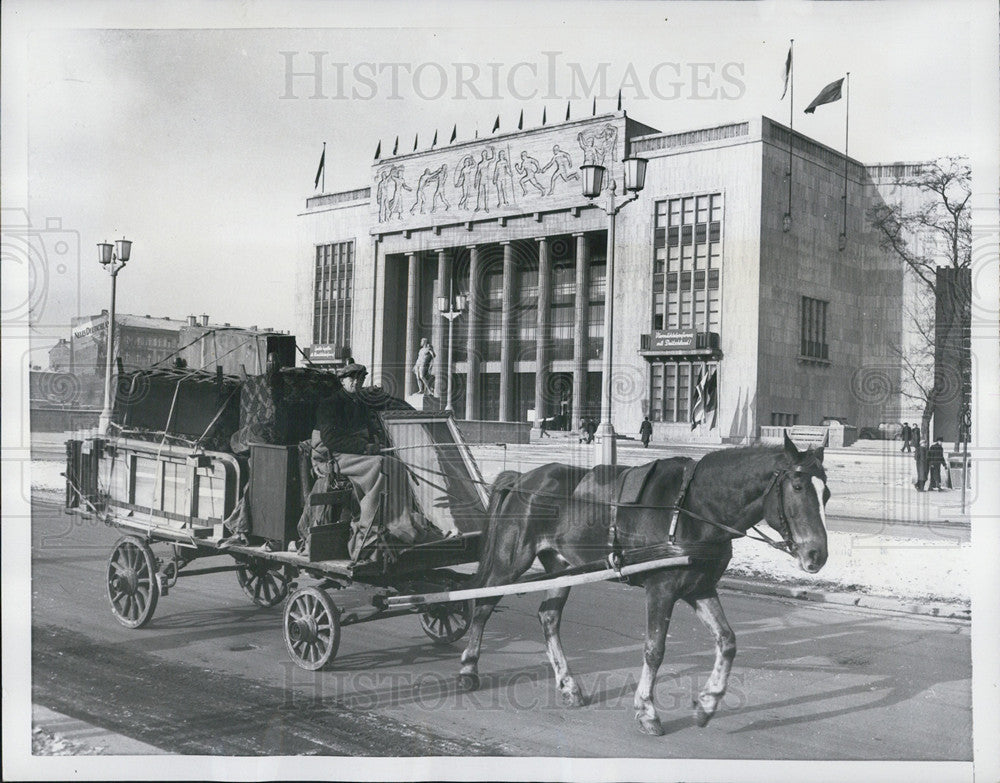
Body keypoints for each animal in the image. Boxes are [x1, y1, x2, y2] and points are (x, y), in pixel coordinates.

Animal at [458, 434, 832, 736]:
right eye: (798, 487)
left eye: (826, 493)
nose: (817, 554)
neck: (692, 508)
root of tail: (524, 478)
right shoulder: (661, 590)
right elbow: (654, 650)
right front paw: (647, 711)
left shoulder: (699, 589)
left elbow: (727, 642)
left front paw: (707, 703)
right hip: (510, 560)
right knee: (483, 605)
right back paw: (468, 668)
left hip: (562, 567)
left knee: (548, 618)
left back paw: (569, 686)